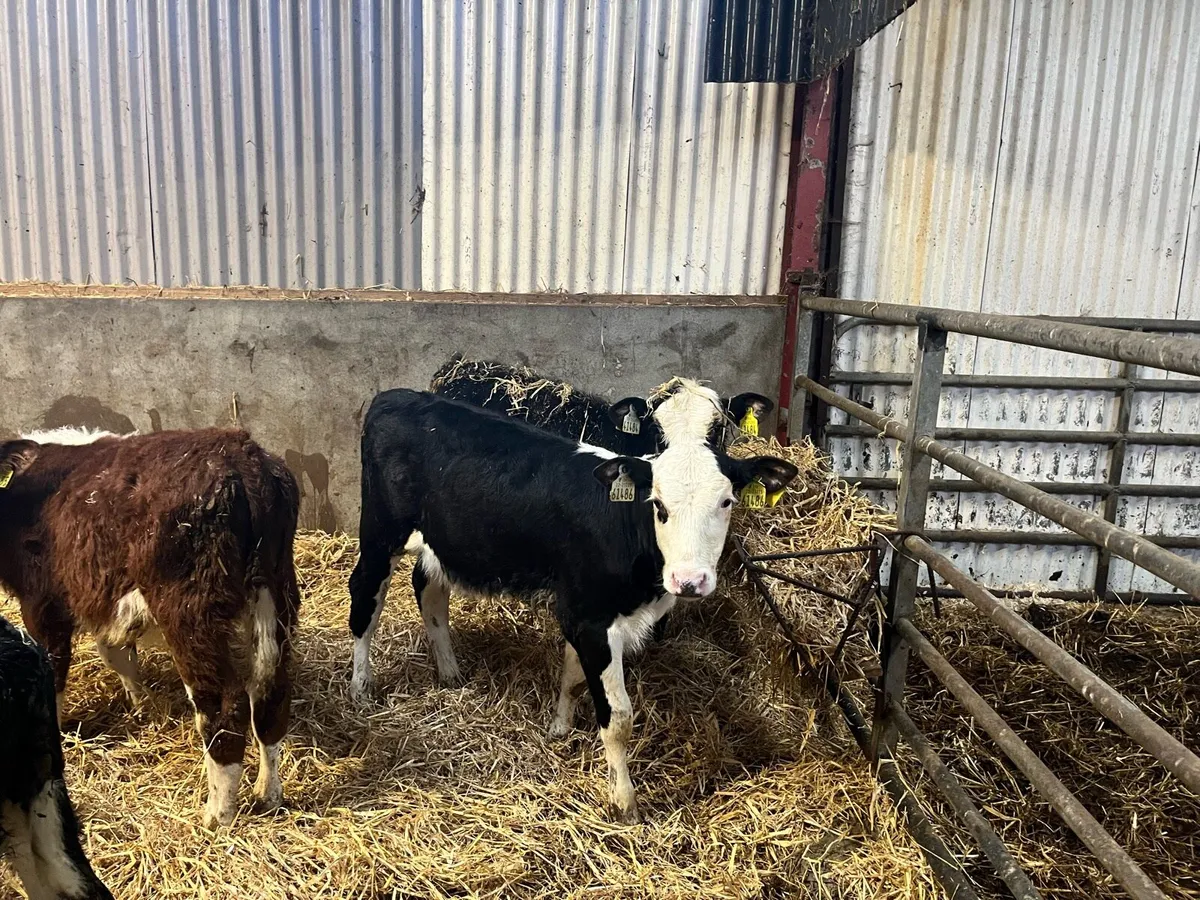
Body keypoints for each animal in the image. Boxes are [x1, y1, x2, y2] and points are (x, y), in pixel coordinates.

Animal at [0, 427, 300, 829]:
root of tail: (240, 455)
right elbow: (118, 654)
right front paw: (143, 706)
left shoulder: (42, 604)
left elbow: (54, 669)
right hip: (276, 594)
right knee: (271, 696)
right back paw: (268, 794)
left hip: (190, 611)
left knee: (224, 708)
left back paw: (217, 816)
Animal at [347, 381, 798, 822]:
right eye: (657, 504)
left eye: (726, 501)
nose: (689, 580)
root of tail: (397, 395)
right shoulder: (592, 619)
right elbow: (617, 717)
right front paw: (624, 803)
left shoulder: (579, 607)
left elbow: (572, 673)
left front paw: (559, 726)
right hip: (379, 533)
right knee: (365, 601)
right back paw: (360, 688)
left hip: (441, 543)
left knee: (429, 589)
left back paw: (449, 672)